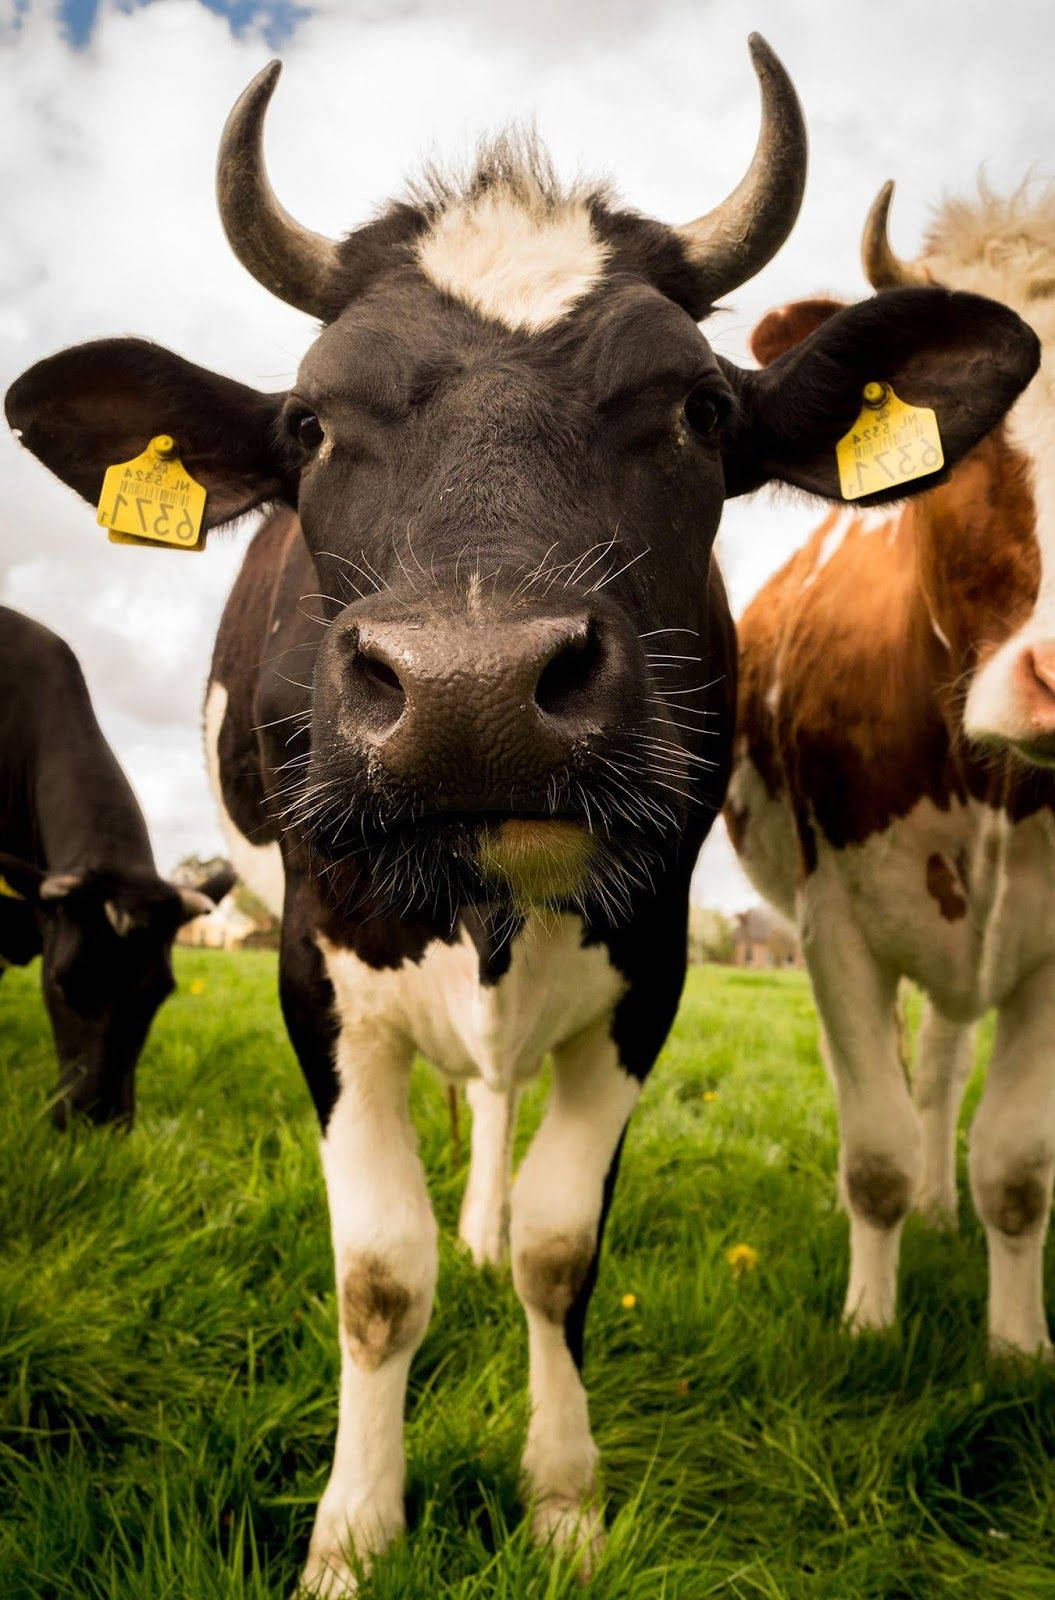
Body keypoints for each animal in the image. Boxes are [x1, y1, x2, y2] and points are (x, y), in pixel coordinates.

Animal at [733, 181, 1055, 1356]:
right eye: (968, 433)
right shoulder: (832, 920)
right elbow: (871, 1143)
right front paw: (868, 1322)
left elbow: (1015, 1166)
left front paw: (1016, 1345)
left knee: (946, 1067)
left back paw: (940, 1205)